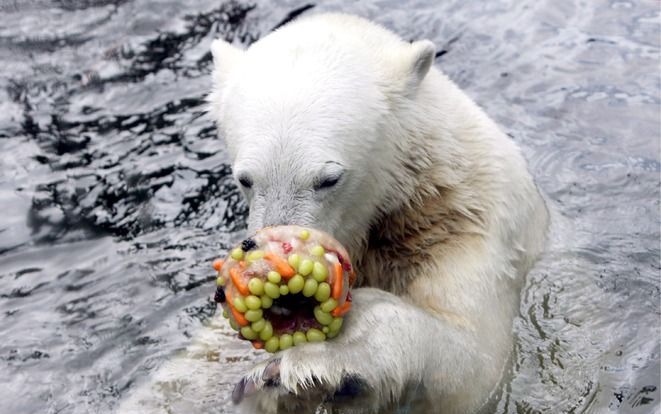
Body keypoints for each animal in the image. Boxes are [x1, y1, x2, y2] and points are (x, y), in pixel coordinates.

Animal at [117, 11, 548, 414]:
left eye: (328, 179)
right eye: (245, 179)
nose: (285, 299)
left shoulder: (464, 226)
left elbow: (471, 362)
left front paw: (311, 364)